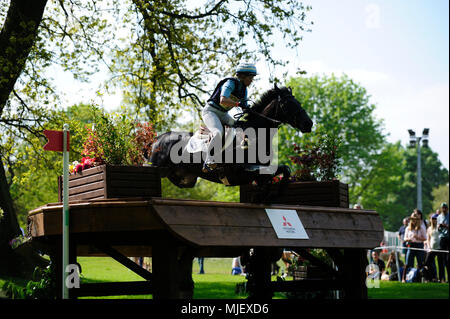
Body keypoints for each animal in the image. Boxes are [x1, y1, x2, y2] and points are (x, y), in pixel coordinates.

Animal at [148, 84, 312, 190]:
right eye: (288, 104)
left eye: (298, 102)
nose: (308, 124)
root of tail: (156, 140)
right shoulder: (241, 173)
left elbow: (283, 169)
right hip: (157, 167)